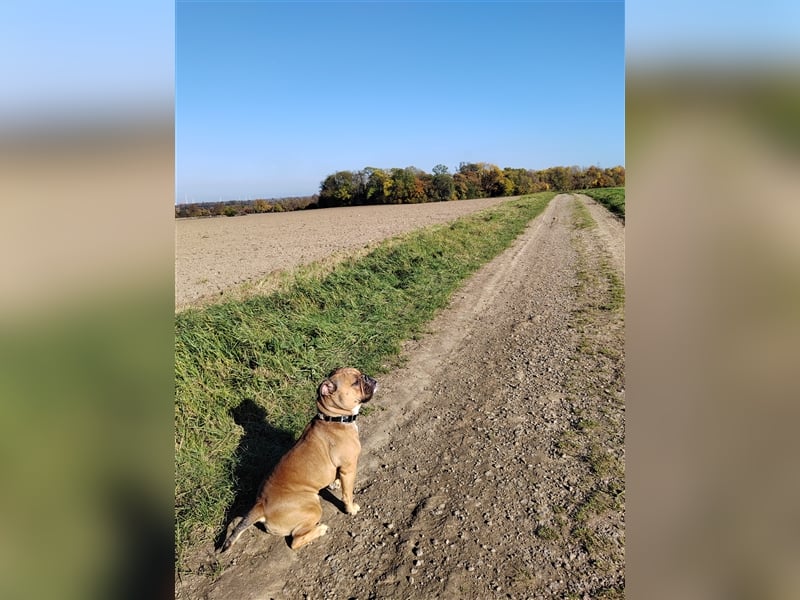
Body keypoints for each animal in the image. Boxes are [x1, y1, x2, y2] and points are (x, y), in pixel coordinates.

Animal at [222, 366, 378, 548]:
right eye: (355, 383)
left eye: (360, 374)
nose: (368, 377)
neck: (333, 418)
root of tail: (261, 505)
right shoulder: (349, 468)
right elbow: (348, 494)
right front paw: (351, 508)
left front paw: (335, 483)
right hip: (313, 507)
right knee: (295, 541)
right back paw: (320, 529)